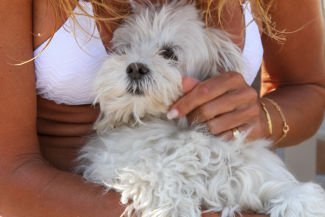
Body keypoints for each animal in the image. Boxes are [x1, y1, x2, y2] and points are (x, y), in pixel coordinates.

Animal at [76, 0, 325, 216]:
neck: (180, 129)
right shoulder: (115, 166)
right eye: (125, 50)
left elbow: (298, 195)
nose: (135, 68)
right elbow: (153, 177)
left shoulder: (257, 178)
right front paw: (173, 204)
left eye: (169, 53)